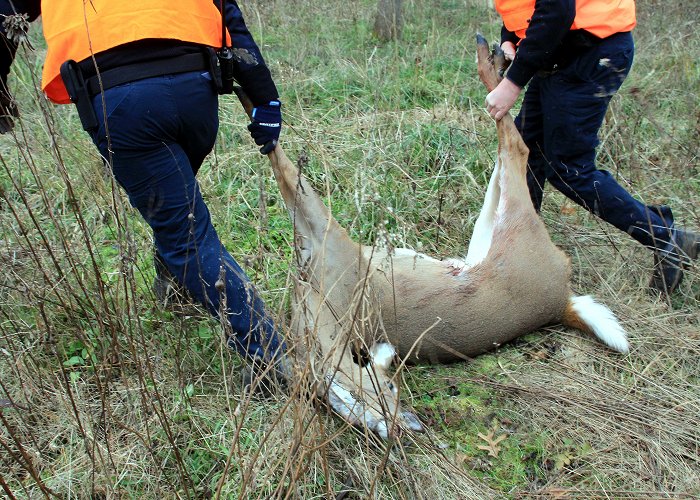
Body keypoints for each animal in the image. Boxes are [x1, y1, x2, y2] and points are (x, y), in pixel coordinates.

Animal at [232, 35, 628, 438]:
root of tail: (562, 299)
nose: (405, 425)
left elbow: (283, 167)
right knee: (508, 151)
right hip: (491, 226)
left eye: (391, 388)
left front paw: (252, 98)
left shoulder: (331, 239)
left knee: (517, 144)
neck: (327, 310)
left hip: (516, 220)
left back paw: (491, 63)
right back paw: (495, 58)